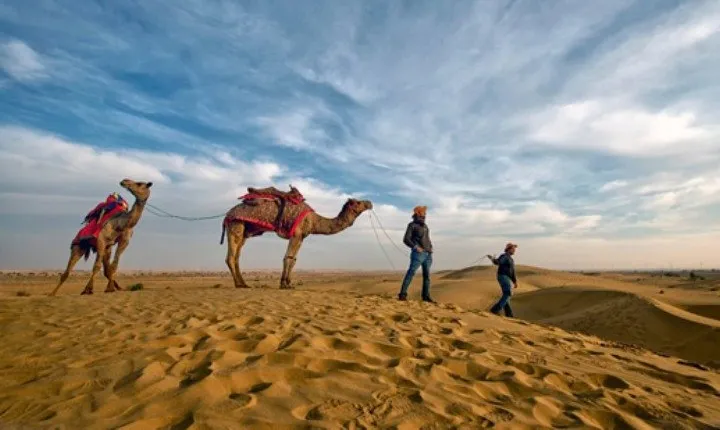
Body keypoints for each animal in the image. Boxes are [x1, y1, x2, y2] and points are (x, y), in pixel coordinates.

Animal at [221, 185, 373, 289]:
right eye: (359, 203)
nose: (370, 203)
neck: (314, 220)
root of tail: (227, 214)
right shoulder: (296, 234)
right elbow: (287, 258)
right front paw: (284, 284)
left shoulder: (302, 237)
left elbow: (293, 259)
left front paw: (288, 283)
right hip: (236, 224)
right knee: (231, 257)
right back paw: (239, 284)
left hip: (245, 231)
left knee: (237, 256)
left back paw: (243, 283)